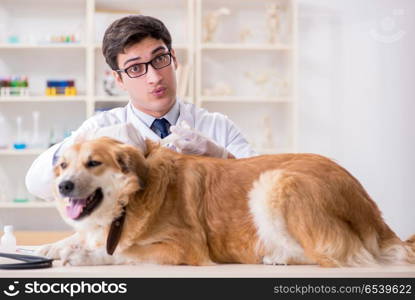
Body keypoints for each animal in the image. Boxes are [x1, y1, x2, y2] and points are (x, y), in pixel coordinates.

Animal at [39, 137, 415, 268]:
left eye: (93, 163)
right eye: (62, 165)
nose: (63, 185)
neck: (129, 202)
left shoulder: (184, 247)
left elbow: (124, 252)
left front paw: (87, 256)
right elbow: (76, 238)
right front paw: (49, 248)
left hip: (276, 182)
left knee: (330, 257)